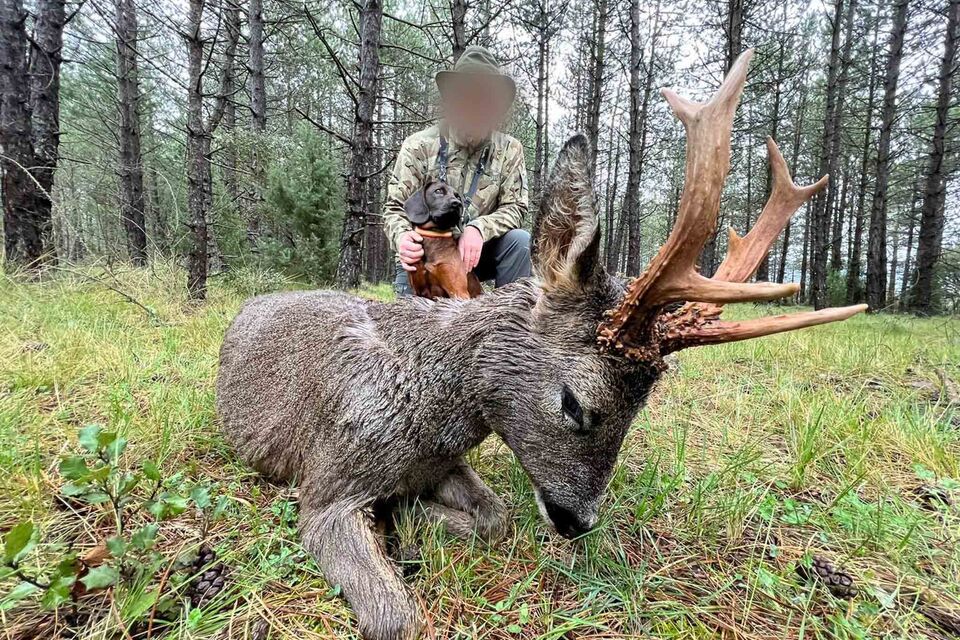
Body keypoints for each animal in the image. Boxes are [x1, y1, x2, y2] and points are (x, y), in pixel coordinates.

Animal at [219, 51, 872, 640]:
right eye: (575, 403)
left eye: (640, 411)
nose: (577, 521)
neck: (430, 409)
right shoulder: (326, 484)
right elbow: (396, 619)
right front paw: (399, 524)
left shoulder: (445, 464)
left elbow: (496, 519)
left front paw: (411, 514)